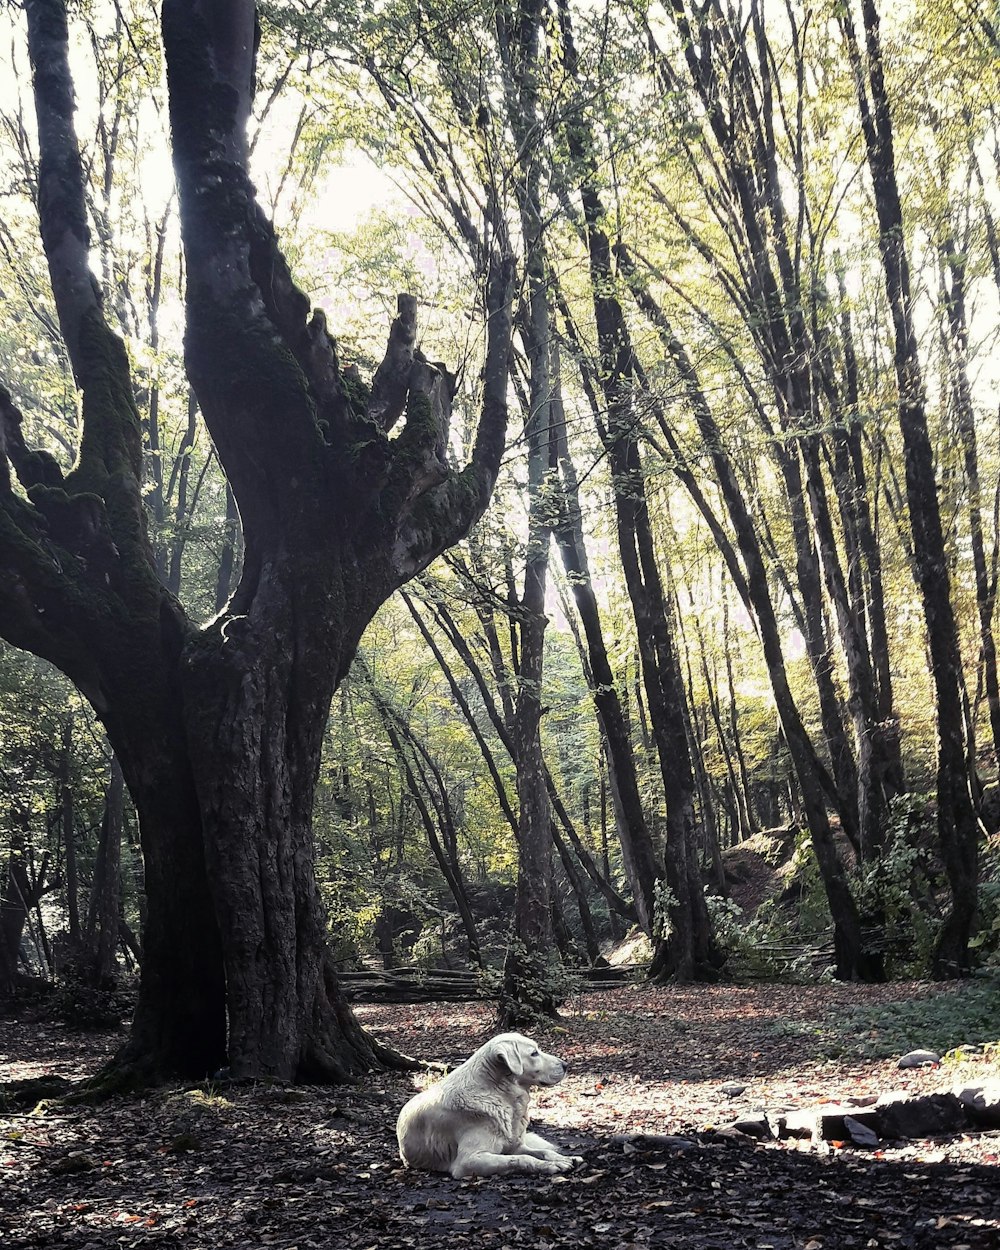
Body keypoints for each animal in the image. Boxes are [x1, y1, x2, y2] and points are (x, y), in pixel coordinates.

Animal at [395, 1030, 582, 1175]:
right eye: (534, 1053)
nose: (566, 1065)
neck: (499, 1093)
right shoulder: (468, 1160)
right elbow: (522, 1159)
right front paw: (550, 1166)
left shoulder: (515, 1146)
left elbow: (542, 1152)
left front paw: (564, 1158)